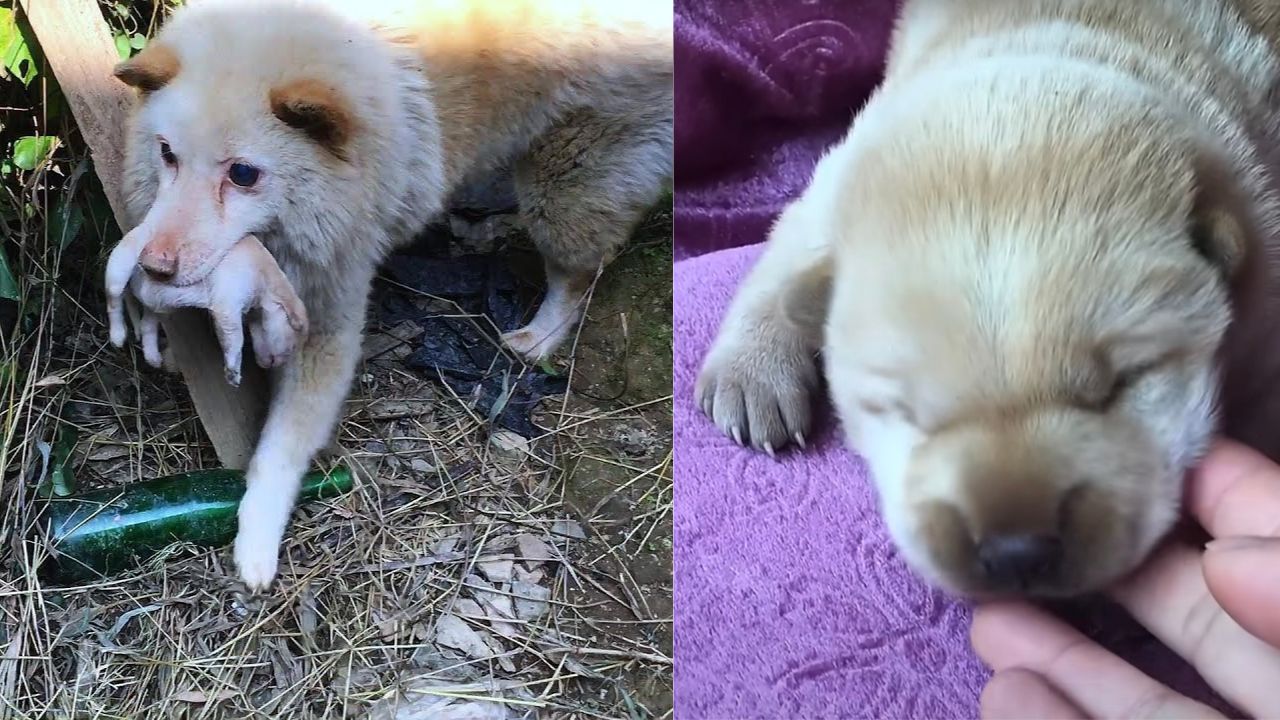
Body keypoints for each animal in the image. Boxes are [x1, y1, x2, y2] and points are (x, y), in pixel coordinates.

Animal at [107, 0, 680, 586]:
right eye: (167, 154)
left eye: (243, 174)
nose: (153, 265)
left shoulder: (329, 316)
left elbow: (281, 446)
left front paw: (257, 538)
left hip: (567, 183)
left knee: (578, 273)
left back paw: (539, 337)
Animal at [696, 0, 1280, 597]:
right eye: (907, 413)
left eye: (1124, 383)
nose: (1017, 553)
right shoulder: (837, 181)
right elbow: (787, 251)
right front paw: (751, 377)